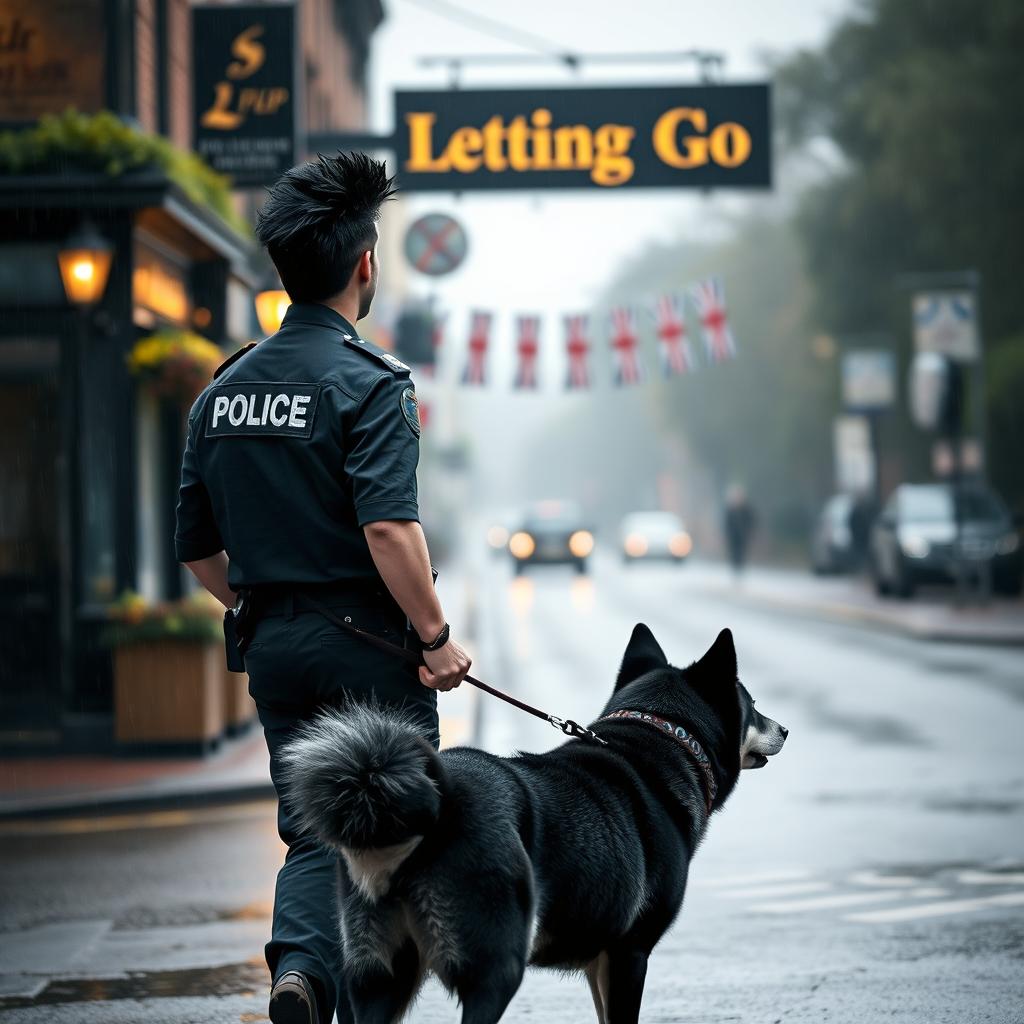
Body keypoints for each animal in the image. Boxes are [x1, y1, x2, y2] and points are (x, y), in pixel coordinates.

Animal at [278, 622, 782, 1024]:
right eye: (753, 704)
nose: (785, 730)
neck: (659, 736)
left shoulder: (602, 962)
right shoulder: (629, 953)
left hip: (380, 976)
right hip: (494, 968)